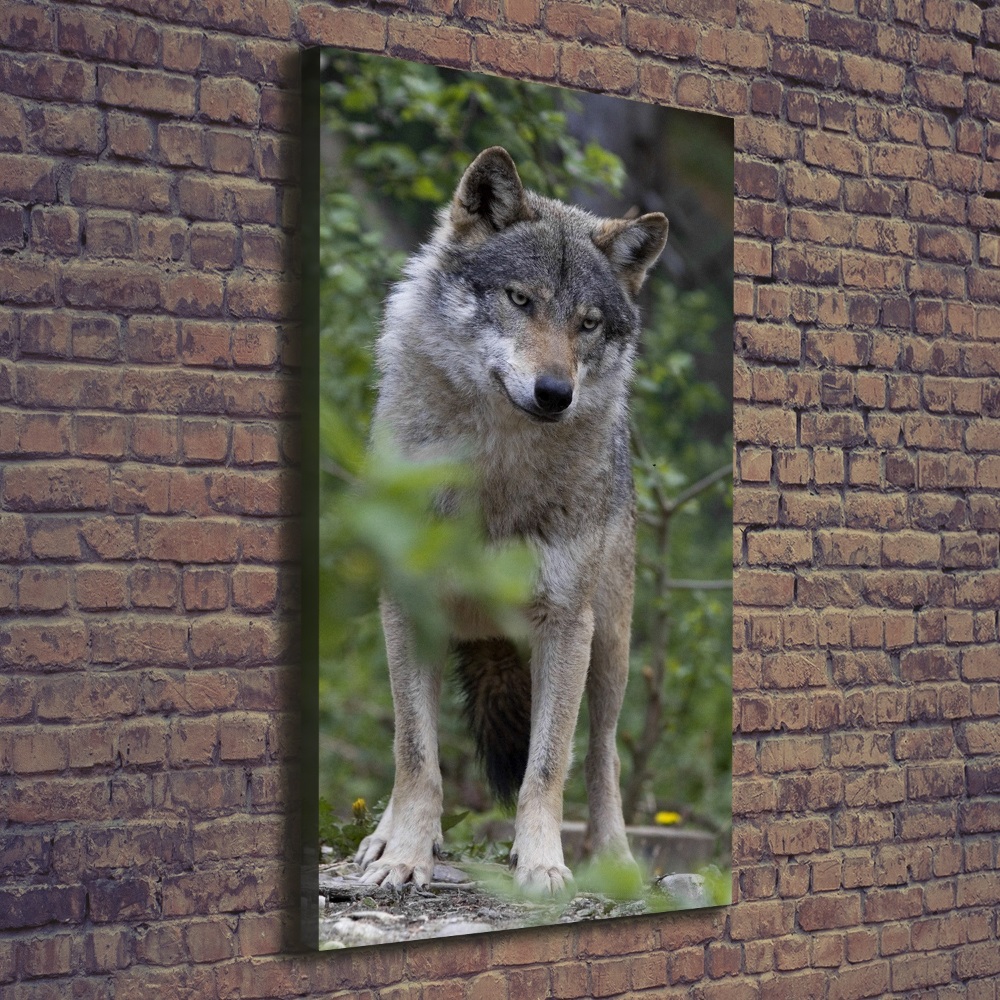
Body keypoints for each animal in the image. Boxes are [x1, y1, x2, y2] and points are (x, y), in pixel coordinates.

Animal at [356, 145, 668, 896]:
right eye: (520, 299)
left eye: (588, 322)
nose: (555, 393)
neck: (493, 475)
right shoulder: (407, 606)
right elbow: (415, 756)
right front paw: (405, 855)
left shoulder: (565, 624)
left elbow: (548, 768)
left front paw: (544, 865)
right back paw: (381, 840)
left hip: (611, 646)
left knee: (605, 756)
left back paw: (615, 860)